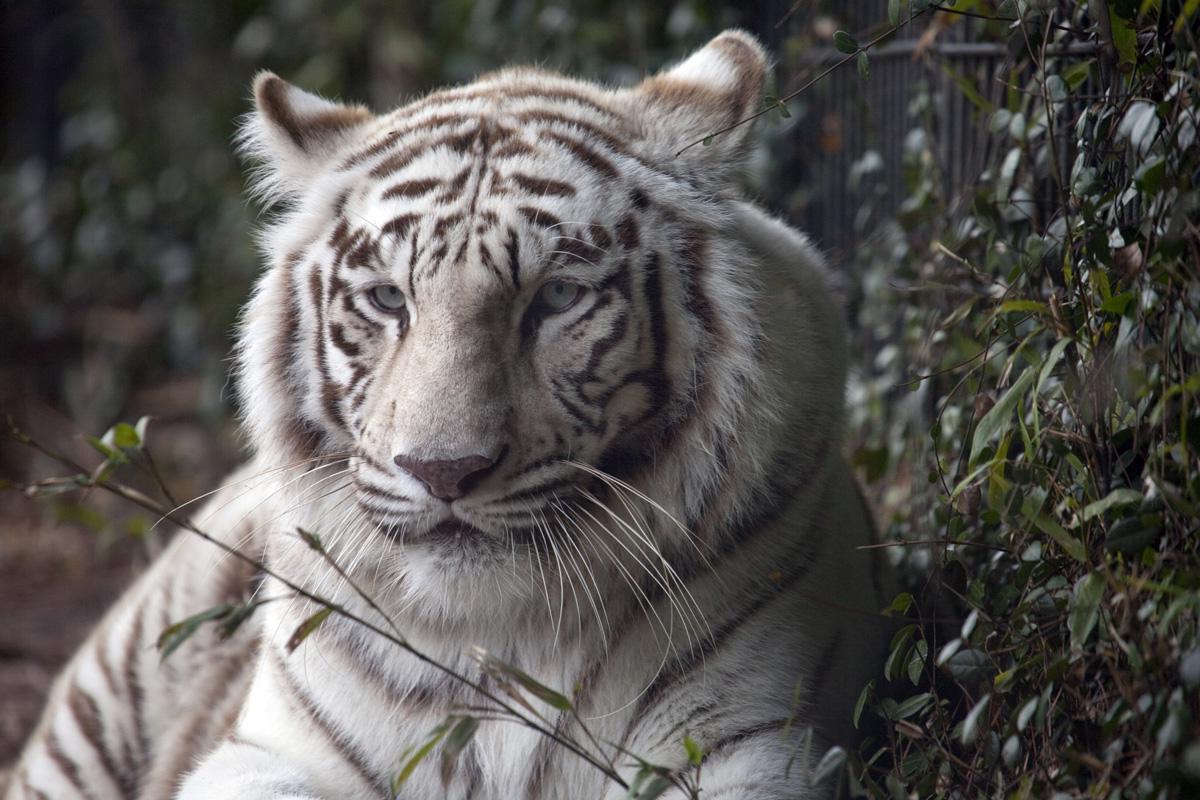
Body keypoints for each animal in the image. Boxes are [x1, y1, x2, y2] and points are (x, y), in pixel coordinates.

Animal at [4, 29, 892, 800]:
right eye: (388, 299)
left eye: (557, 297)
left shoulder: (752, 743)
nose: (443, 472)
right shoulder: (275, 750)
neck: (500, 636)